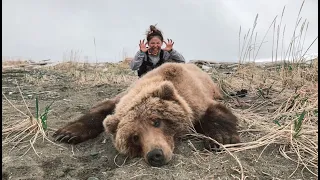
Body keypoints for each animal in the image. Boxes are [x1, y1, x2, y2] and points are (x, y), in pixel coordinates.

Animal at [52, 62, 239, 167]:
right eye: (134, 137)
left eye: (157, 121)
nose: (155, 154)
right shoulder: (121, 99)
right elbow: (100, 110)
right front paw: (67, 133)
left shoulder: (194, 96)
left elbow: (215, 112)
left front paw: (221, 139)